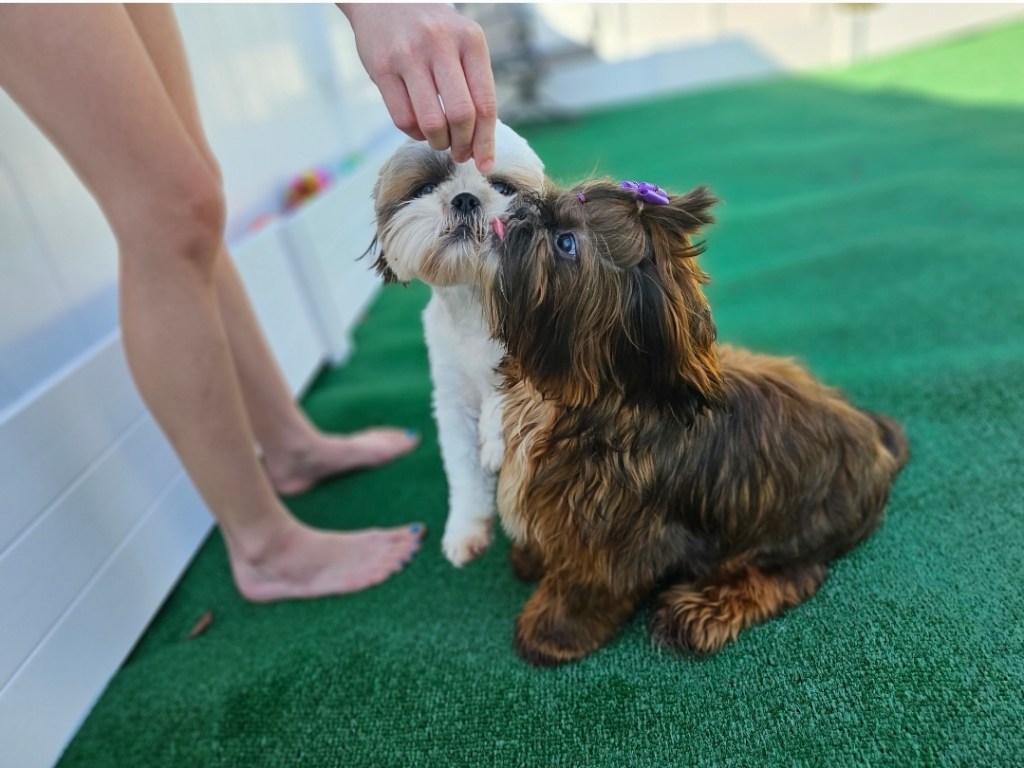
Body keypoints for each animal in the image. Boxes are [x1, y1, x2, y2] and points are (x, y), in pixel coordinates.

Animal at [370, 121, 546, 566]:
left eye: (501, 187)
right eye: (427, 187)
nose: (466, 198)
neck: (474, 311)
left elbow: (506, 385)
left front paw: (494, 437)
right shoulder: (451, 403)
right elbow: (464, 471)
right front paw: (466, 528)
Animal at [478, 178, 910, 666]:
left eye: (566, 243)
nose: (525, 209)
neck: (578, 398)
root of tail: (873, 440)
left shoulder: (612, 537)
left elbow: (587, 584)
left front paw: (553, 630)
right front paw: (534, 557)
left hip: (784, 530)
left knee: (783, 577)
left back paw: (697, 613)